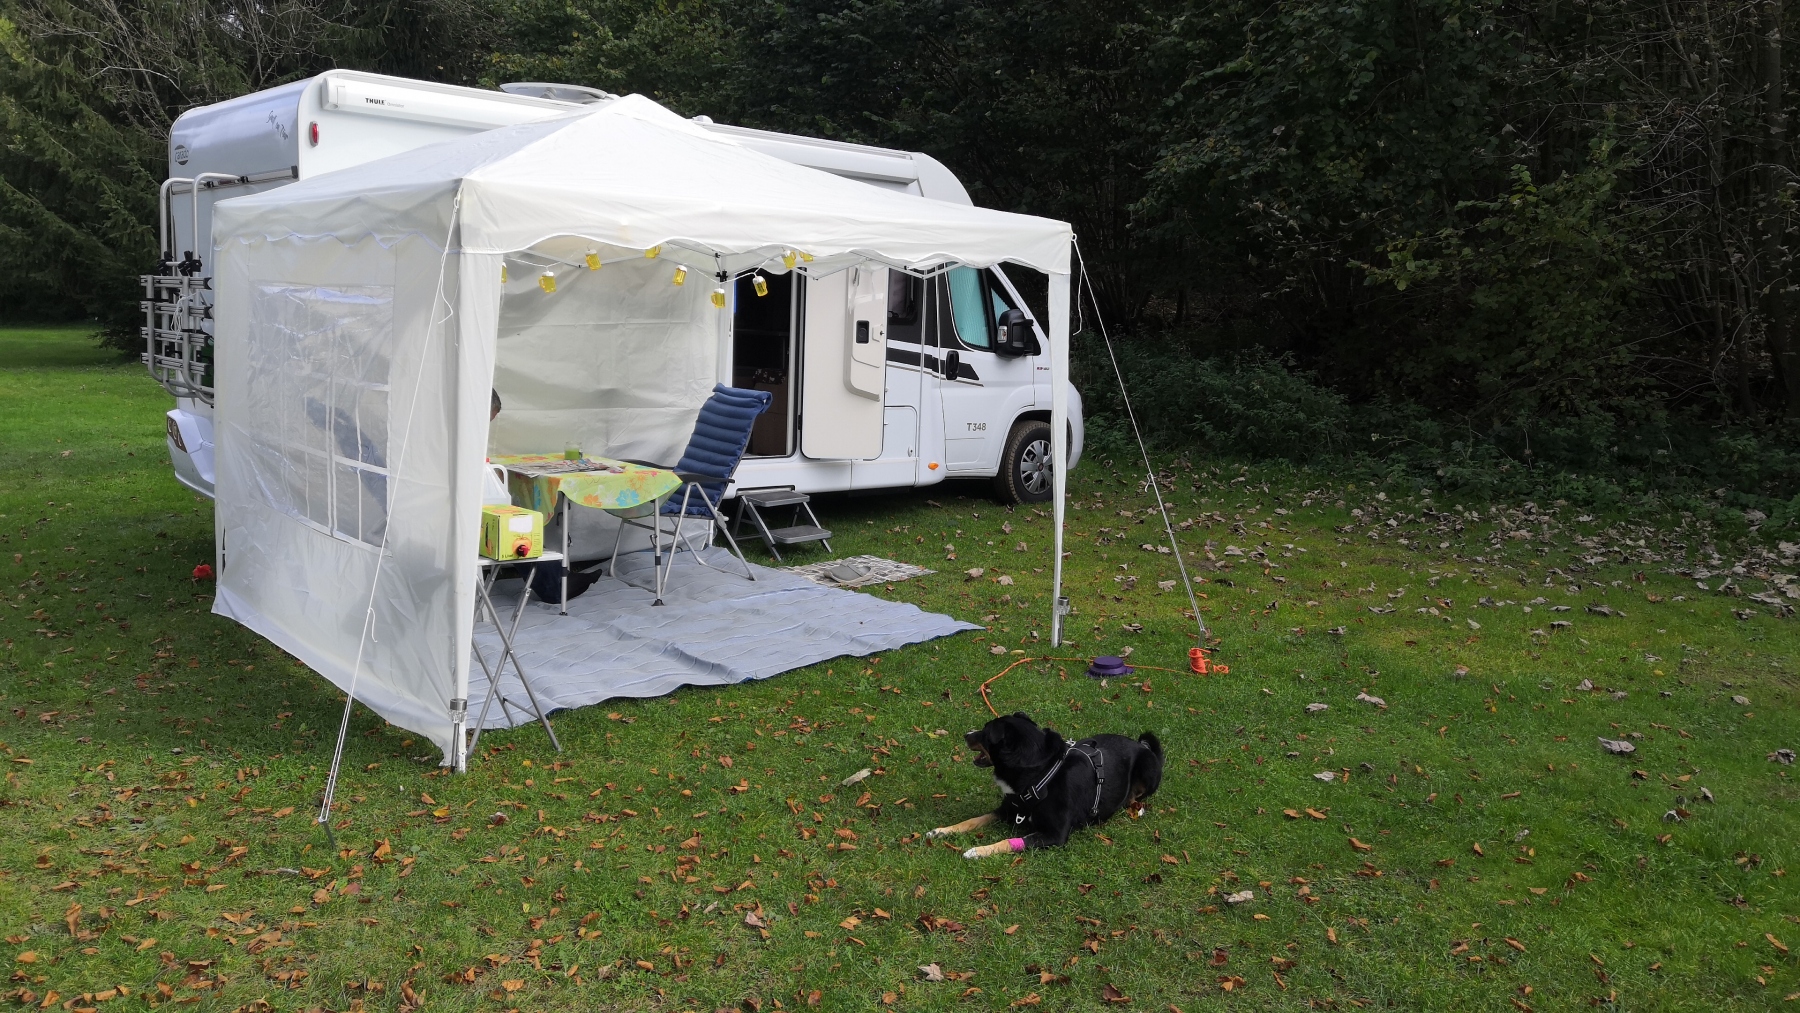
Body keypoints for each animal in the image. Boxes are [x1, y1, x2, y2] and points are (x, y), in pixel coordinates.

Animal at [926, 712, 1164, 859]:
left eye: (985, 732)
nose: (966, 734)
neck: (1040, 775)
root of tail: (1142, 746)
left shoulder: (1055, 835)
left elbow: (1010, 841)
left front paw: (977, 851)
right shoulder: (1007, 810)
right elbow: (973, 820)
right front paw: (942, 831)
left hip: (1148, 768)